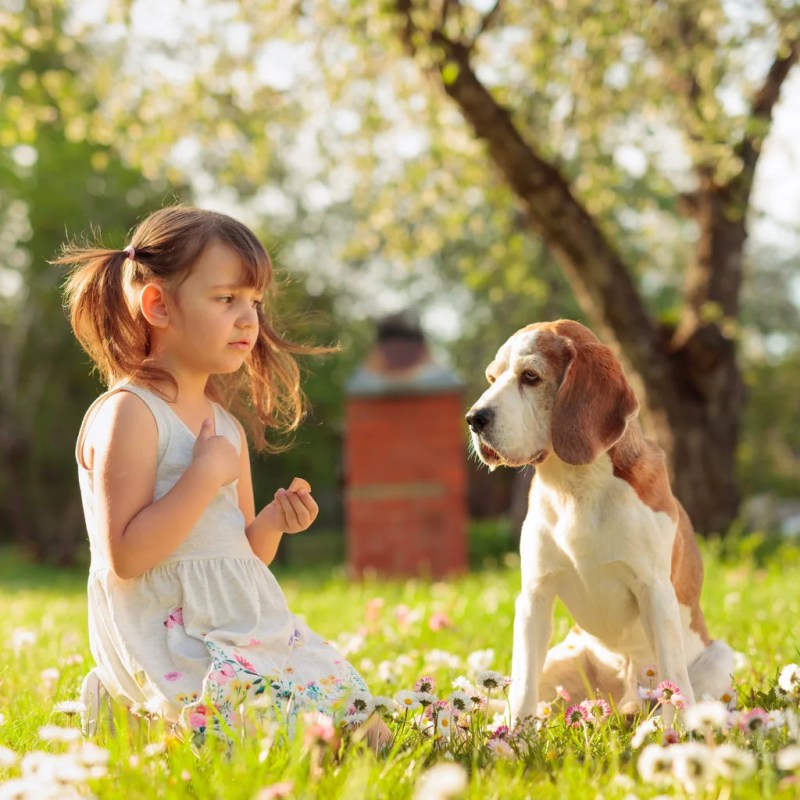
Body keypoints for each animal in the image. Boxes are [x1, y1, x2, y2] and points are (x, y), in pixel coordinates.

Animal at [466, 320, 736, 724]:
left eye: (530, 376)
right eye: (492, 378)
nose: (474, 419)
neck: (576, 488)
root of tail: (615, 700)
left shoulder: (654, 590)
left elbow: (673, 676)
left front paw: (677, 732)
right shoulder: (535, 594)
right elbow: (524, 682)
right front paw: (515, 732)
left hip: (720, 656)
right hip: (563, 659)